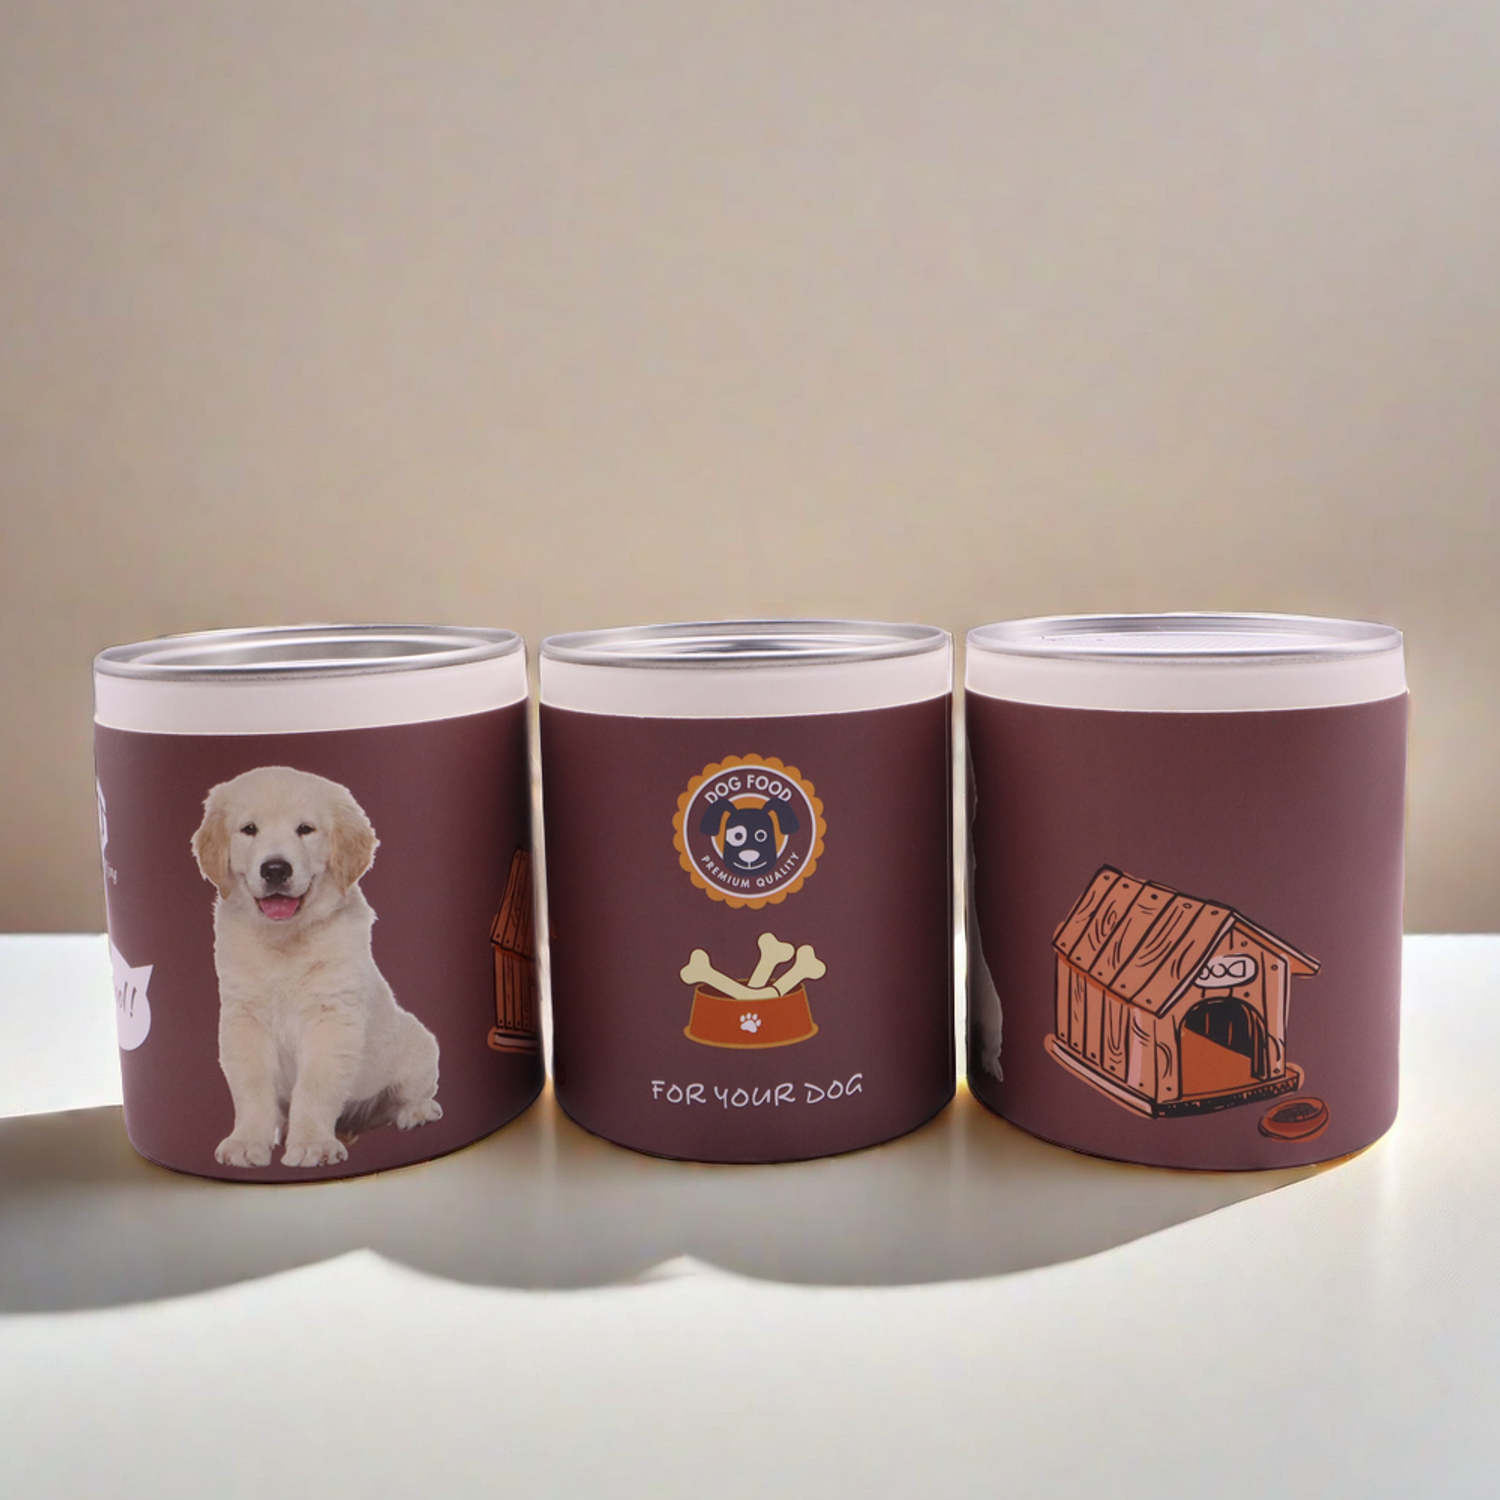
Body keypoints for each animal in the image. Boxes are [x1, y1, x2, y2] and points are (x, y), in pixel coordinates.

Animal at [191, 765, 442, 1169]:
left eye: (305, 829)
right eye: (249, 829)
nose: (276, 869)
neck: (285, 942)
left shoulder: (331, 1017)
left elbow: (315, 1086)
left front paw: (312, 1144)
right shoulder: (244, 1017)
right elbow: (251, 1086)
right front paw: (247, 1141)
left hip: (417, 1044)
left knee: (408, 1094)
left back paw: (417, 1111)